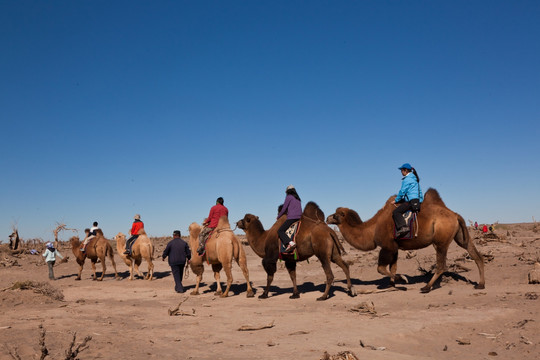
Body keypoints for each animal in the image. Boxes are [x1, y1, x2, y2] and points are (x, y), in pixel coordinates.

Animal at [326, 188, 488, 292]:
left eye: (336, 214)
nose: (327, 218)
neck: (372, 228)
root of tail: (455, 215)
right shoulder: (395, 248)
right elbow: (393, 267)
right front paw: (392, 284)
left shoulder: (388, 246)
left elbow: (381, 268)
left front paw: (402, 279)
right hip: (460, 236)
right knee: (476, 255)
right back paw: (480, 284)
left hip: (441, 241)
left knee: (441, 265)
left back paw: (426, 287)